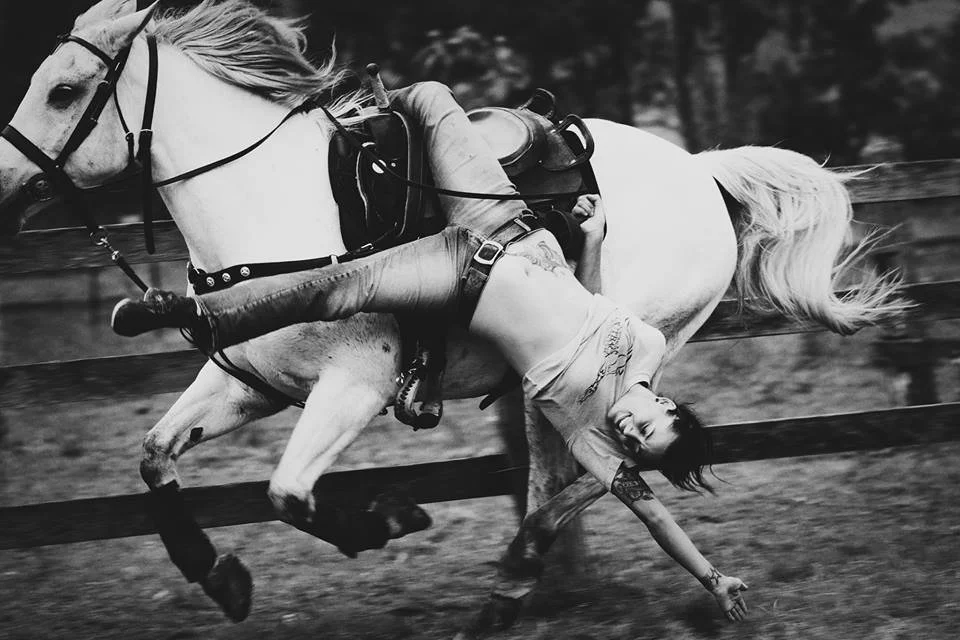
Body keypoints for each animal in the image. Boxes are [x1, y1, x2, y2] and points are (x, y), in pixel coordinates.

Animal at [0, 0, 904, 633]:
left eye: (66, 91)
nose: (5, 182)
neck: (274, 212)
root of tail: (701, 170)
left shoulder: (353, 388)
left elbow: (288, 492)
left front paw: (386, 521)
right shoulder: (249, 383)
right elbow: (155, 456)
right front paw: (219, 575)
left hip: (624, 347)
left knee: (586, 475)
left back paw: (517, 572)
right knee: (565, 475)